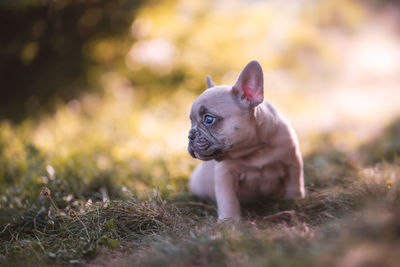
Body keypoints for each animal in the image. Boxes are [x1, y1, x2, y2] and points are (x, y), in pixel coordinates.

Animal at [187, 60, 304, 222]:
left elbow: (294, 184)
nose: (190, 135)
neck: (255, 149)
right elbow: (228, 199)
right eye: (191, 121)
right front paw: (229, 221)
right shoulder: (225, 174)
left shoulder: (292, 161)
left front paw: (294, 202)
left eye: (209, 119)